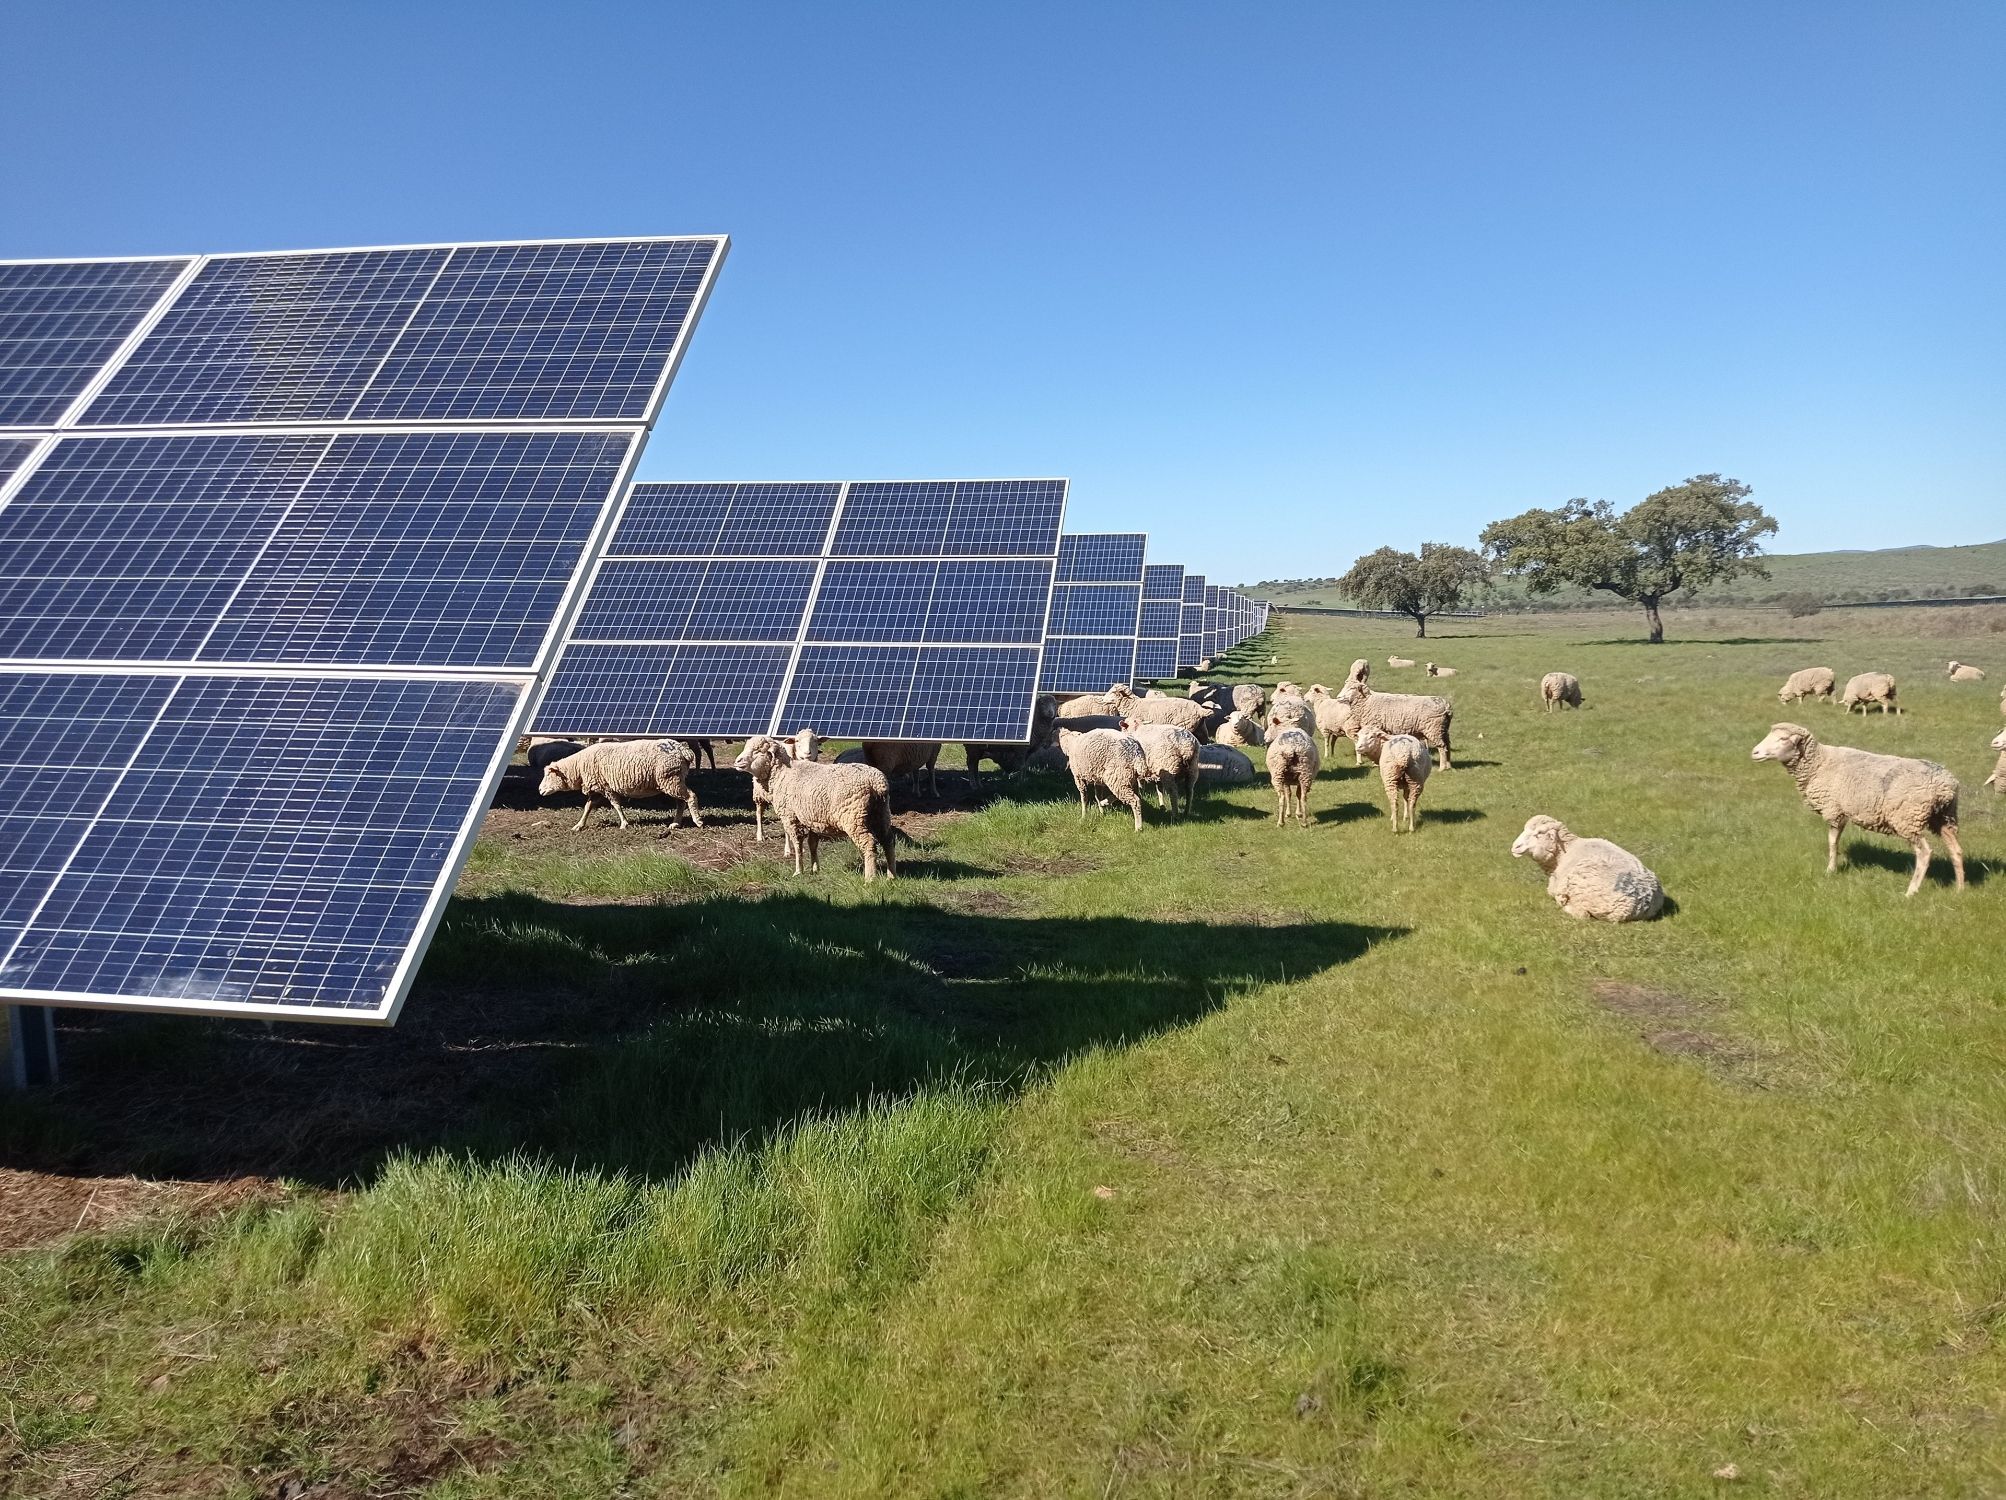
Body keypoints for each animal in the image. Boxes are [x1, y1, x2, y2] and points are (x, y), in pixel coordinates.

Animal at [541, 737, 706, 830]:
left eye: (549, 775)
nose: (540, 790)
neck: (578, 767)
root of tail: (682, 750)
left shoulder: (606, 787)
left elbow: (616, 805)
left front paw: (624, 824)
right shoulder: (598, 788)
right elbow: (588, 807)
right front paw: (578, 825)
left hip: (671, 779)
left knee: (690, 796)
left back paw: (698, 821)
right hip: (673, 780)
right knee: (681, 802)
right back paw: (675, 824)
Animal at [734, 733, 898, 878]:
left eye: (757, 751)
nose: (737, 761)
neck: (783, 773)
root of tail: (876, 783)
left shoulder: (790, 816)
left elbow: (798, 844)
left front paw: (798, 871)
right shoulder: (812, 818)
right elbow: (812, 844)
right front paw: (815, 869)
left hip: (854, 818)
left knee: (869, 844)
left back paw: (870, 878)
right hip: (881, 813)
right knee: (888, 841)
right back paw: (891, 875)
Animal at [1331, 685, 1460, 766]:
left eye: (1352, 688)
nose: (1338, 697)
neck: (1367, 701)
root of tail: (1446, 705)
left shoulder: (1375, 725)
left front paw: (1375, 762)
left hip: (1434, 729)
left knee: (1442, 747)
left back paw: (1442, 768)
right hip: (1443, 729)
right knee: (1447, 746)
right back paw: (1449, 765)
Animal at [1749, 721, 1965, 898]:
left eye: (1783, 739)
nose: (1754, 753)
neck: (1819, 763)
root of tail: (1945, 785)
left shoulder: (1834, 810)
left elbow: (1832, 842)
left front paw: (1830, 870)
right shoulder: (1842, 812)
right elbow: (1834, 842)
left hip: (1908, 818)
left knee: (1924, 853)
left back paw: (1911, 891)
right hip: (1945, 818)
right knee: (1956, 851)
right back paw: (1960, 889)